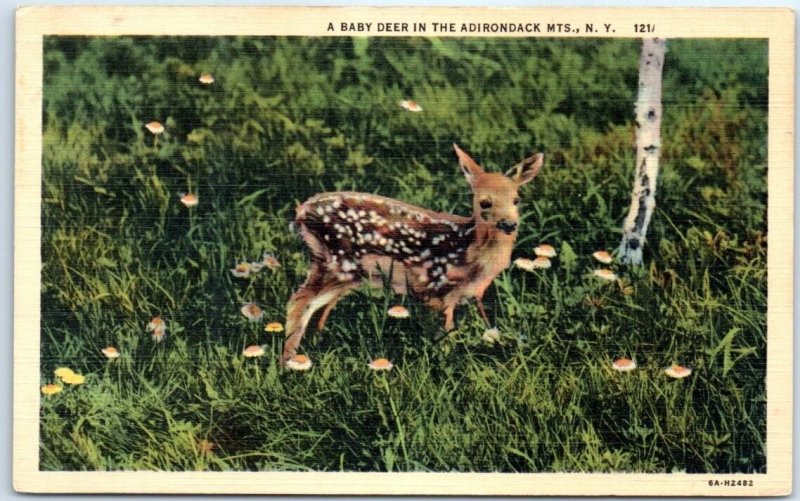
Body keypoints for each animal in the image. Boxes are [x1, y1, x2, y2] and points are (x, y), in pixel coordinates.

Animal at [282, 144, 544, 364]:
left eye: (516, 200)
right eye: (484, 203)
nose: (509, 224)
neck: (470, 250)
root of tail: (301, 212)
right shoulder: (438, 288)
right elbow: (446, 334)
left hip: (339, 271)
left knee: (315, 307)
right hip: (338, 263)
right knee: (298, 302)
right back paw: (288, 364)